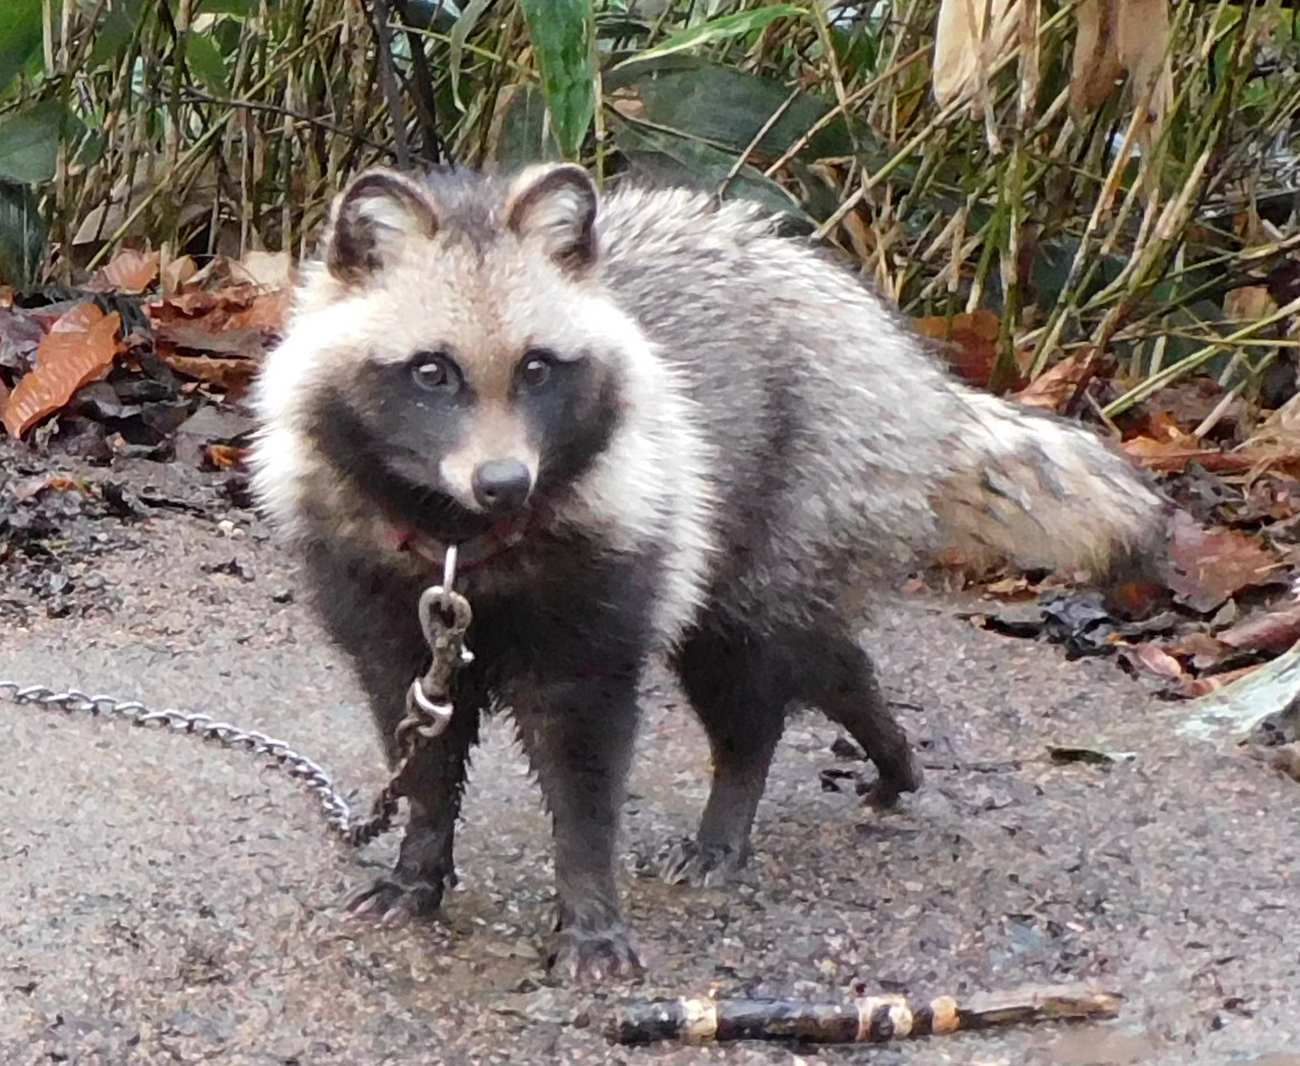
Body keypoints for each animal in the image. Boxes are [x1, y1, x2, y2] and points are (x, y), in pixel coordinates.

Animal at [248, 164, 1164, 982]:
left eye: (538, 367)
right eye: (431, 371)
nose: (505, 482)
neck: (461, 535)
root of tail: (915, 376)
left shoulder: (605, 579)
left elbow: (583, 764)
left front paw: (589, 906)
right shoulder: (376, 590)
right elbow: (420, 744)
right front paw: (420, 862)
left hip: (795, 495)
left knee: (750, 675)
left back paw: (736, 808)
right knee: (825, 653)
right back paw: (883, 738)